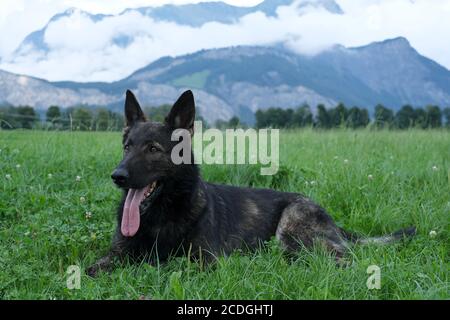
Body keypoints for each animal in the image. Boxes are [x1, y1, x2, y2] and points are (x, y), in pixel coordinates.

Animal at [86, 89, 416, 276]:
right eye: (127, 146)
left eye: (153, 149)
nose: (118, 176)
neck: (160, 216)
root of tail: (333, 222)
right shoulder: (116, 254)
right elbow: (92, 269)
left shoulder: (204, 261)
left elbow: (162, 266)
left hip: (292, 231)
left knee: (341, 260)